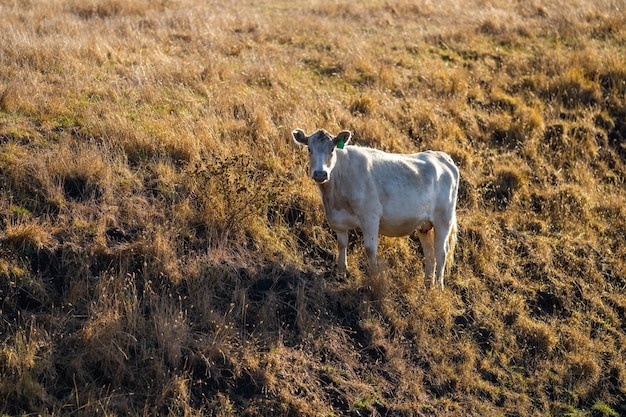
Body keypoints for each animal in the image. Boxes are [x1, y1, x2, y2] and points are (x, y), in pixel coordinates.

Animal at [290, 128, 456, 288]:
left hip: (443, 219)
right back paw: (428, 285)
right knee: (430, 254)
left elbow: (370, 249)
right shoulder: (338, 219)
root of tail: (442, 156)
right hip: (424, 225)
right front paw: (341, 272)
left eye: (332, 149)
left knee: (441, 251)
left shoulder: (370, 216)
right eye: (309, 149)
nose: (320, 173)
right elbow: (342, 244)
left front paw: (374, 278)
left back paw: (439, 286)